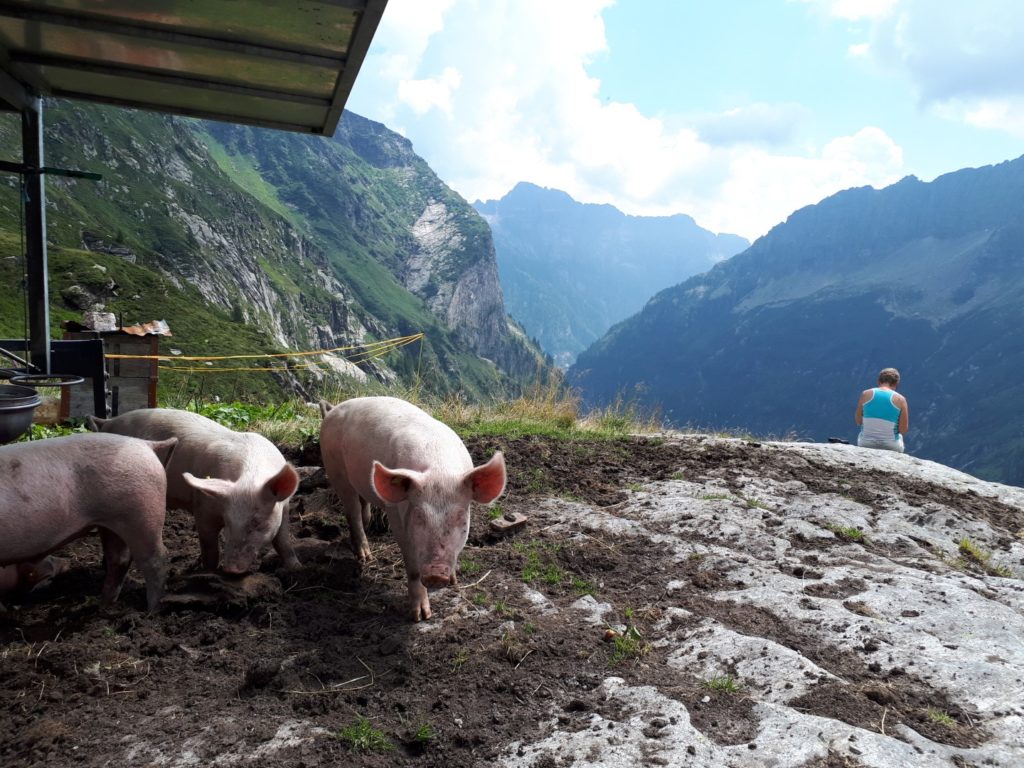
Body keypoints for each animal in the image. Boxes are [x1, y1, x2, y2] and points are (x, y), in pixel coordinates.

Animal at [0, 436, 175, 610]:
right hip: (112, 523)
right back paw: (103, 606)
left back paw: (151, 610)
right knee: (119, 559)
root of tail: (145, 443)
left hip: (142, 513)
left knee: (156, 559)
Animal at [89, 411, 299, 573]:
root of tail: (107, 422)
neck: (249, 478)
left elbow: (283, 541)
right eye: (228, 521)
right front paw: (208, 573)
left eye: (257, 522)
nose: (230, 569)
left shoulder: (284, 507)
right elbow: (209, 548)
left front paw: (296, 568)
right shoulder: (203, 507)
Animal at [319, 397, 503, 618]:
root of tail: (332, 409)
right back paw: (366, 556)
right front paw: (421, 616)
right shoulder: (396, 516)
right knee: (352, 512)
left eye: (460, 516)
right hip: (335, 469)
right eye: (419, 515)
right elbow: (412, 568)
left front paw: (453, 581)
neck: (438, 468)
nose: (435, 574)